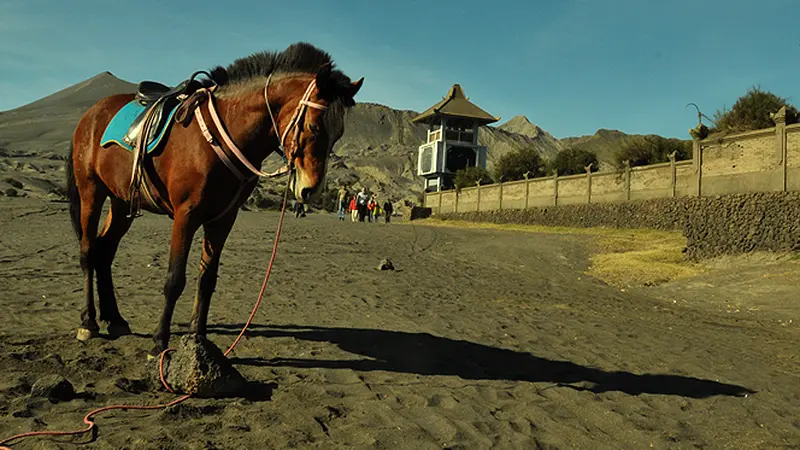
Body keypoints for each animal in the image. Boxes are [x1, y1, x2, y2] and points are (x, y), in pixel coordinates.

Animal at [66, 43, 366, 358]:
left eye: (339, 133)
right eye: (314, 126)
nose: (311, 189)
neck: (223, 134)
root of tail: (90, 115)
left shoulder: (223, 218)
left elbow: (207, 279)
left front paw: (198, 337)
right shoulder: (186, 214)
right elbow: (174, 279)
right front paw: (159, 341)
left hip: (121, 201)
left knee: (105, 251)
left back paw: (115, 319)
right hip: (91, 191)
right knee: (88, 251)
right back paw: (88, 322)